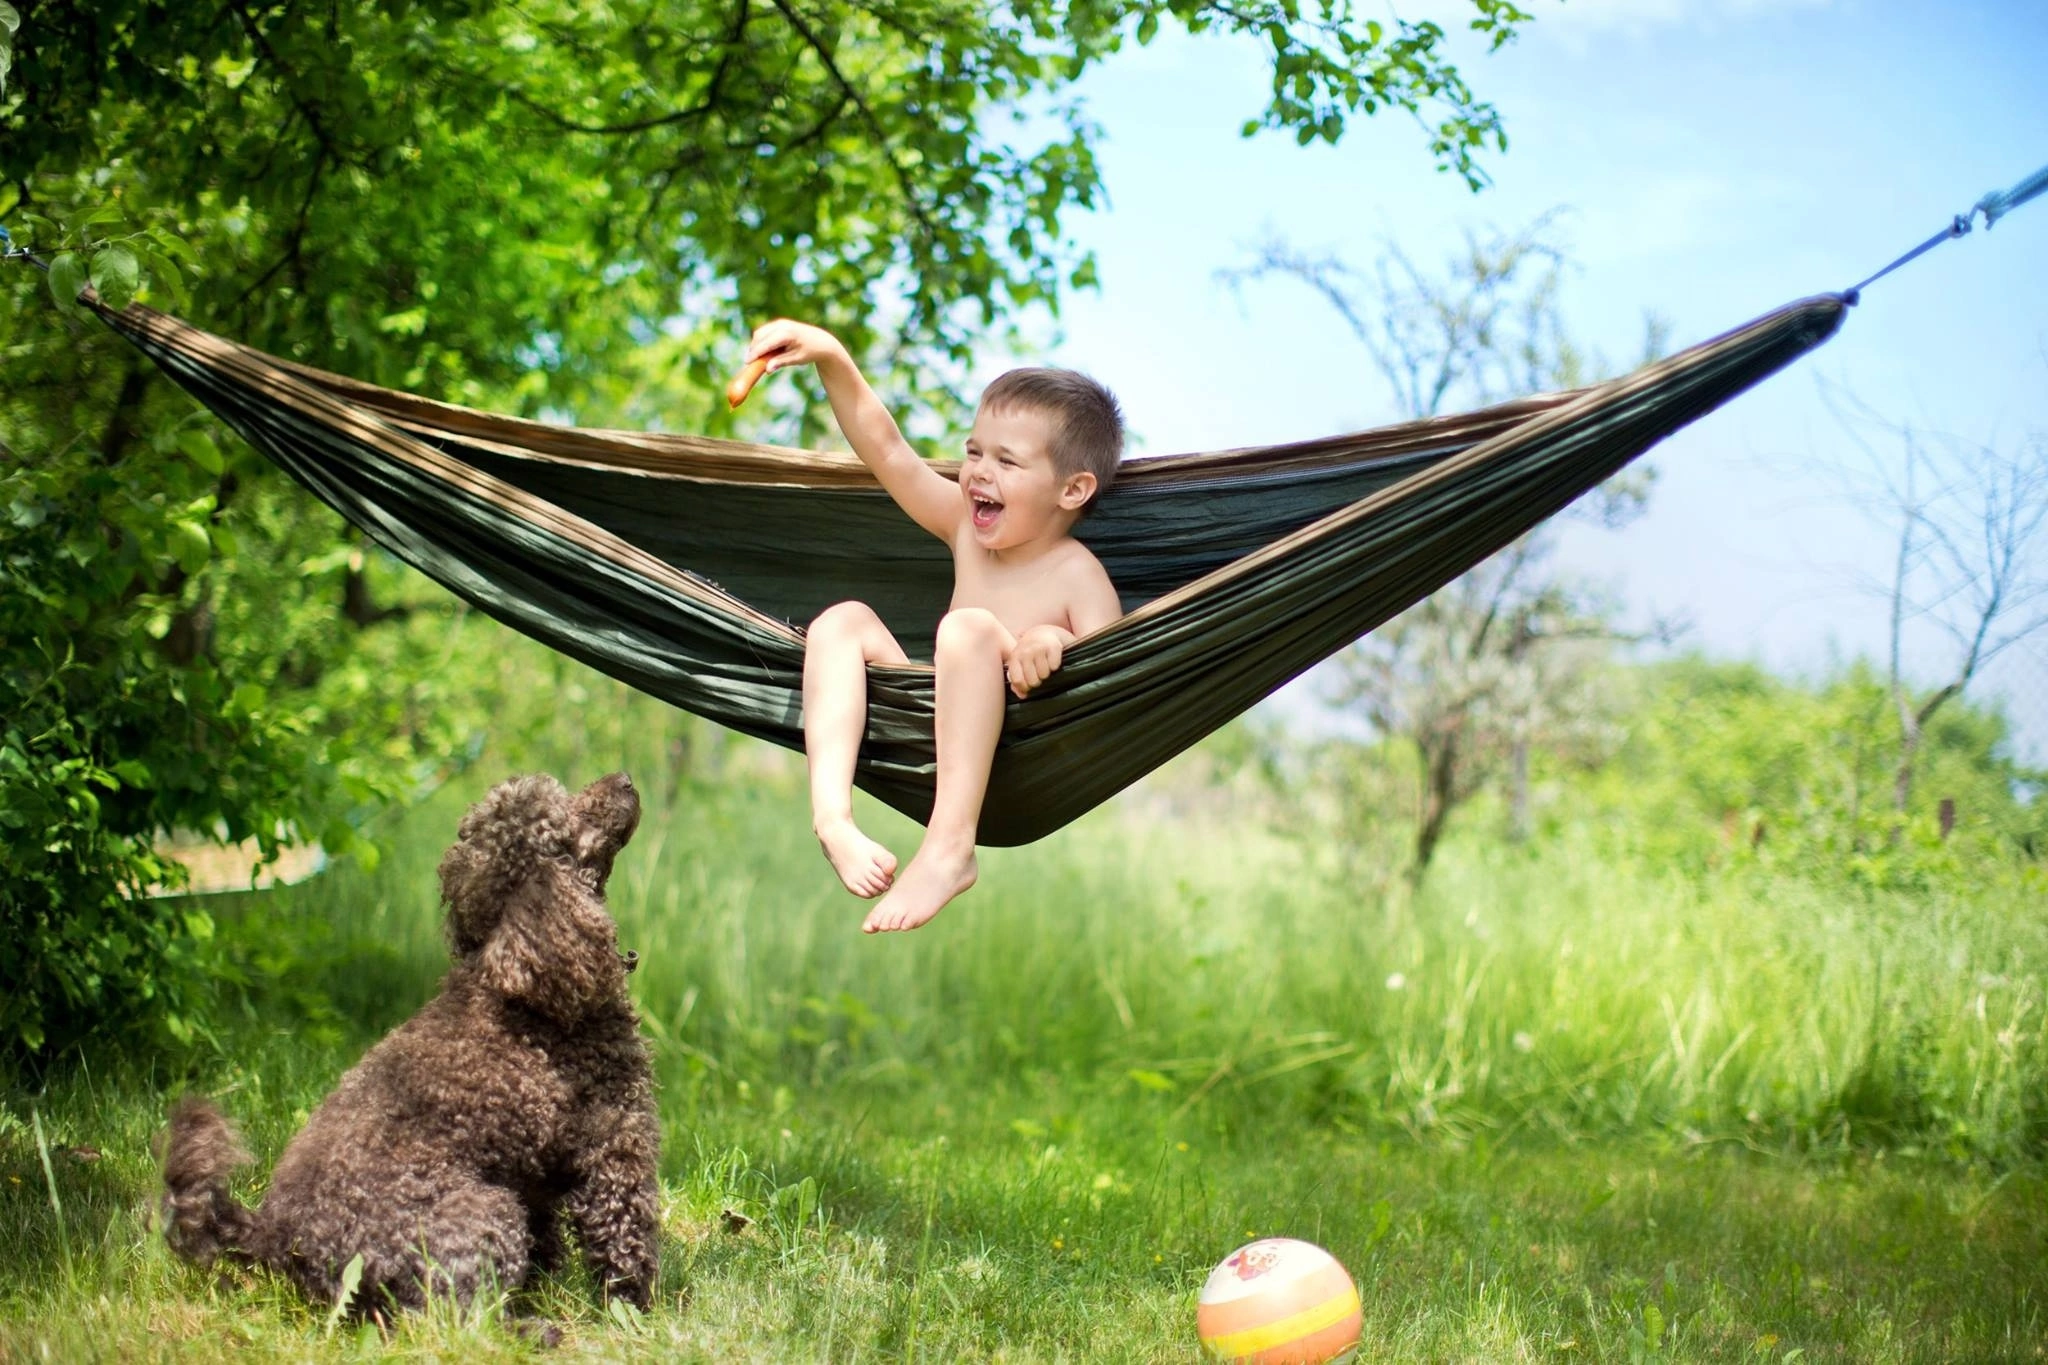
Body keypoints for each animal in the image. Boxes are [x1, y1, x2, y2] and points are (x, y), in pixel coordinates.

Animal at [161, 777, 655, 1326]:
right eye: (565, 818)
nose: (625, 780)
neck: (519, 987)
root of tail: (276, 1240)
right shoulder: (614, 1139)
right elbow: (624, 1237)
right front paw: (636, 1311)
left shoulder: (531, 1169)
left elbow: (546, 1237)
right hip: (484, 1215)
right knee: (456, 1319)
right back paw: (535, 1331)